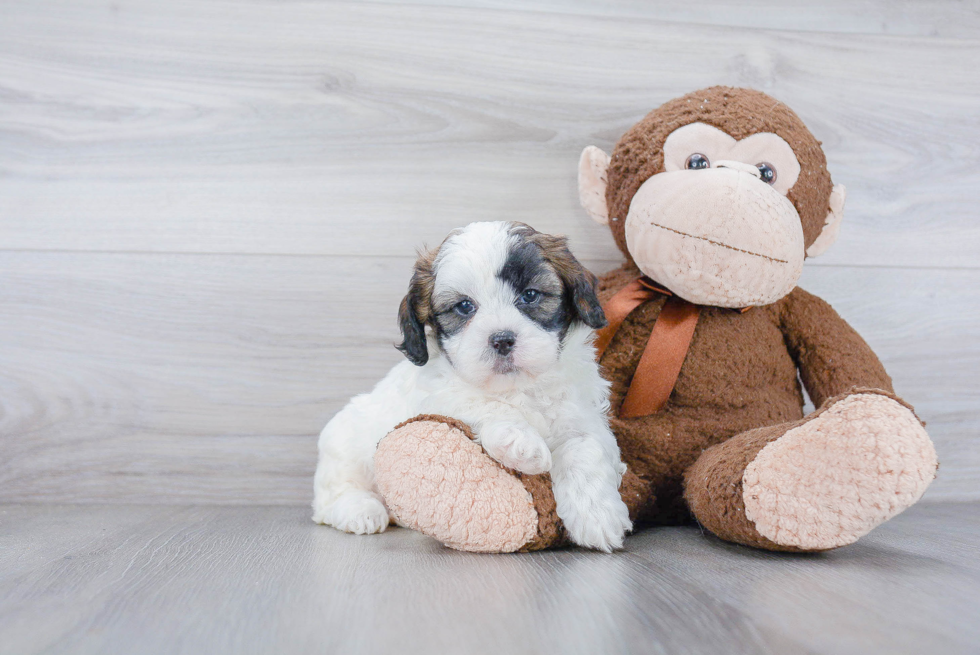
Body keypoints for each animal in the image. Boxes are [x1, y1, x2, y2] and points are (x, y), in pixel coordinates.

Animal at [314, 222, 636, 552]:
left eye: (530, 295)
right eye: (464, 306)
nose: (502, 339)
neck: (518, 387)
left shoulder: (585, 416)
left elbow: (583, 448)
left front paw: (597, 516)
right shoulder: (441, 396)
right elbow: (481, 404)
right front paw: (522, 443)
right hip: (345, 444)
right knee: (334, 494)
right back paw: (360, 510)